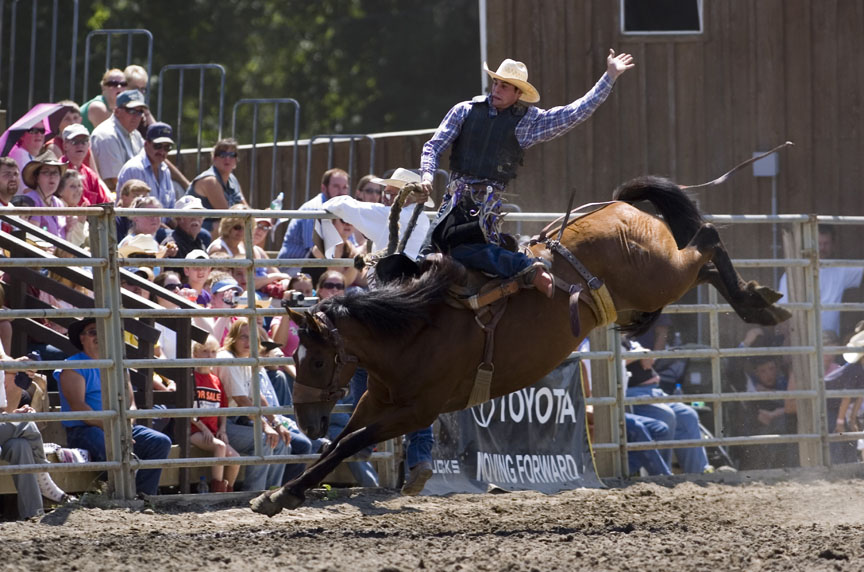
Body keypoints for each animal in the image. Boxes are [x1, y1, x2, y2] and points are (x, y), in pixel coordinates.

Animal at [250, 174, 788, 512]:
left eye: (317, 362)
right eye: (295, 357)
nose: (306, 420)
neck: (414, 325)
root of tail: (620, 206)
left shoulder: (418, 409)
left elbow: (351, 441)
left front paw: (284, 494)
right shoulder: (376, 398)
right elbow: (342, 441)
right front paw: (281, 493)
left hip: (661, 276)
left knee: (709, 237)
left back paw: (759, 304)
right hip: (655, 287)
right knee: (706, 263)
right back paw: (756, 301)